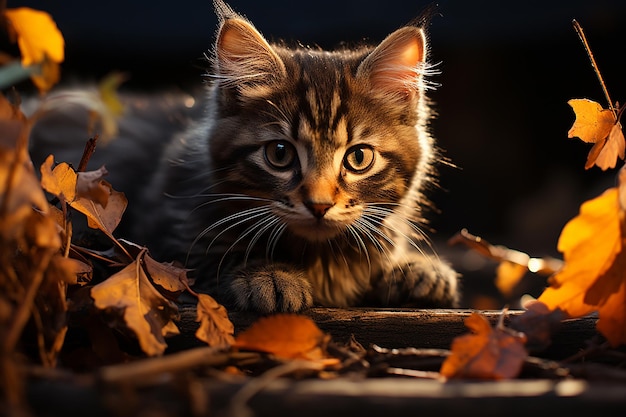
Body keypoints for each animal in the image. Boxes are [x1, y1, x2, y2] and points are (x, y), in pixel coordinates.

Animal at [133, 0, 458, 312]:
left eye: (359, 158)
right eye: (280, 154)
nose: (319, 205)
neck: (321, 257)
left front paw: (418, 271)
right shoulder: (167, 226)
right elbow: (201, 261)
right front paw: (267, 275)